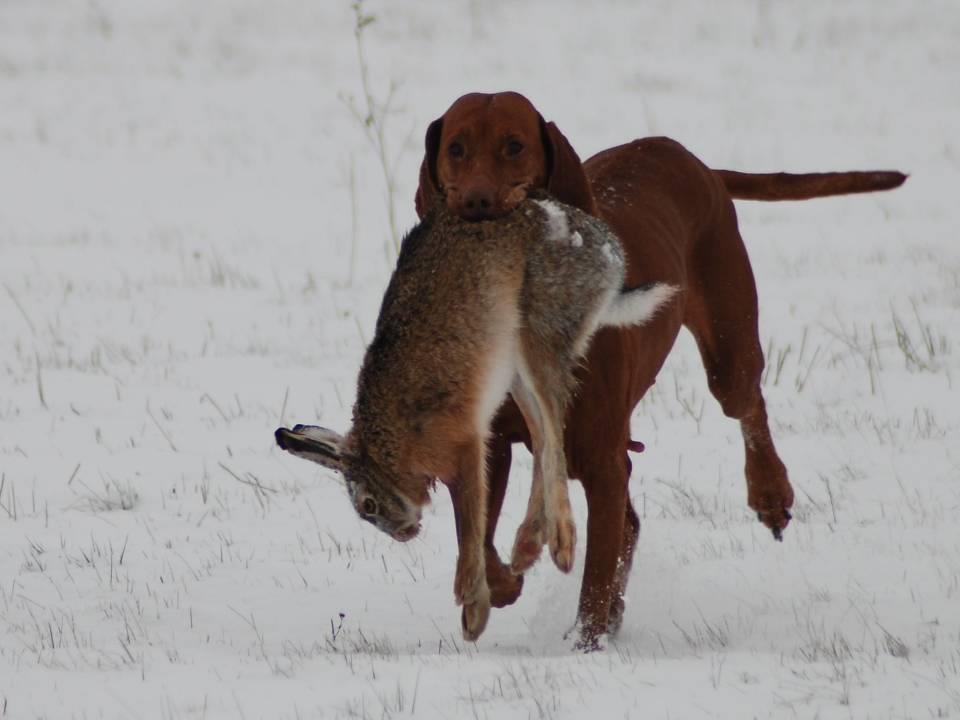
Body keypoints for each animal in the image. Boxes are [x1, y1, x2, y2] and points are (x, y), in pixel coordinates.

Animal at [414, 93, 908, 648]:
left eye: (515, 146)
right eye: (456, 149)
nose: (476, 203)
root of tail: (695, 162)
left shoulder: (601, 461)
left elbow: (594, 576)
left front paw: (585, 646)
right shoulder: (495, 443)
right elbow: (482, 538)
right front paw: (498, 587)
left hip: (727, 345)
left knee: (747, 402)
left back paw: (769, 492)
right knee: (629, 521)